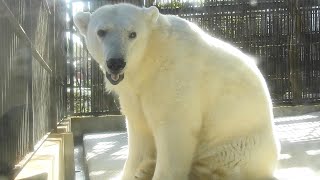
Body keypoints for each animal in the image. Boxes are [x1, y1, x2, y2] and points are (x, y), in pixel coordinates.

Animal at [74, 3, 280, 179]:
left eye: (132, 34)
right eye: (101, 32)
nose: (116, 62)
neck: (148, 57)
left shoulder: (173, 76)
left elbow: (174, 128)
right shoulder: (133, 92)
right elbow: (139, 130)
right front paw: (134, 170)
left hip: (235, 144)